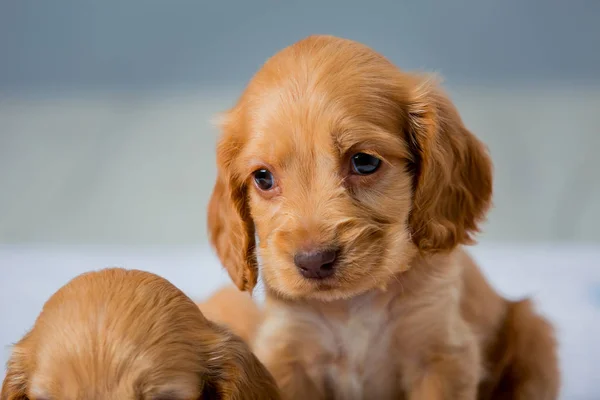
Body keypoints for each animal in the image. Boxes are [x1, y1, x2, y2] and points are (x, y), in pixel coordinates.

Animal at [205, 35, 556, 400]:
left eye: (364, 162)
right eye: (263, 178)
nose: (314, 261)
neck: (352, 305)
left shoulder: (440, 354)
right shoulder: (289, 355)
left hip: (535, 335)